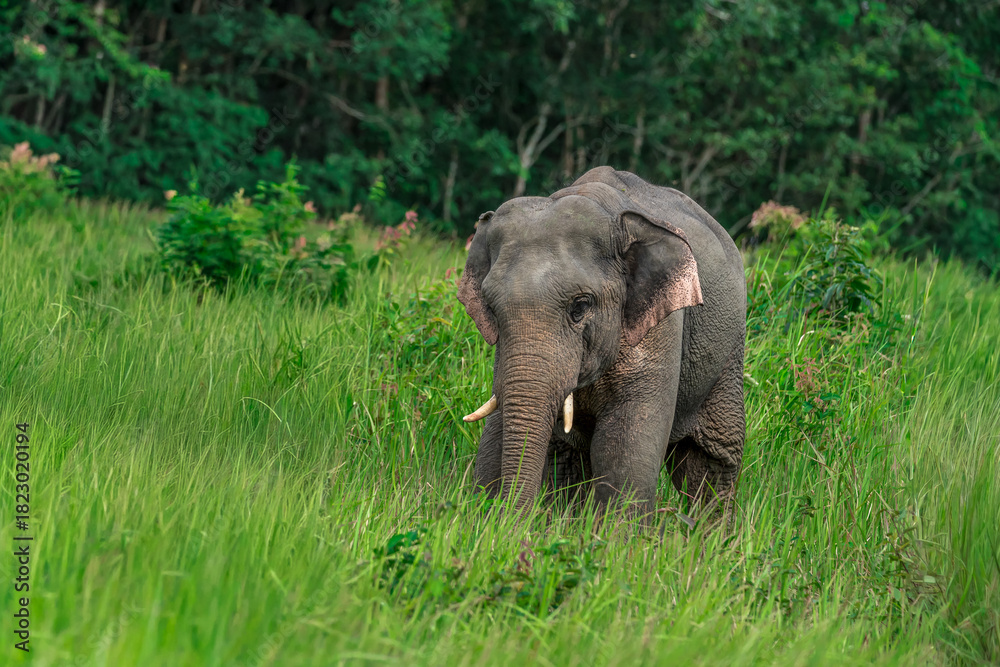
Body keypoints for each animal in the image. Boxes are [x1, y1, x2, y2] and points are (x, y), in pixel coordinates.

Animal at [457, 167, 746, 520]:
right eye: (491, 308)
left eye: (580, 306)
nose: (508, 517)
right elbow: (508, 432)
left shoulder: (660, 326)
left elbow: (624, 445)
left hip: (729, 353)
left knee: (710, 462)